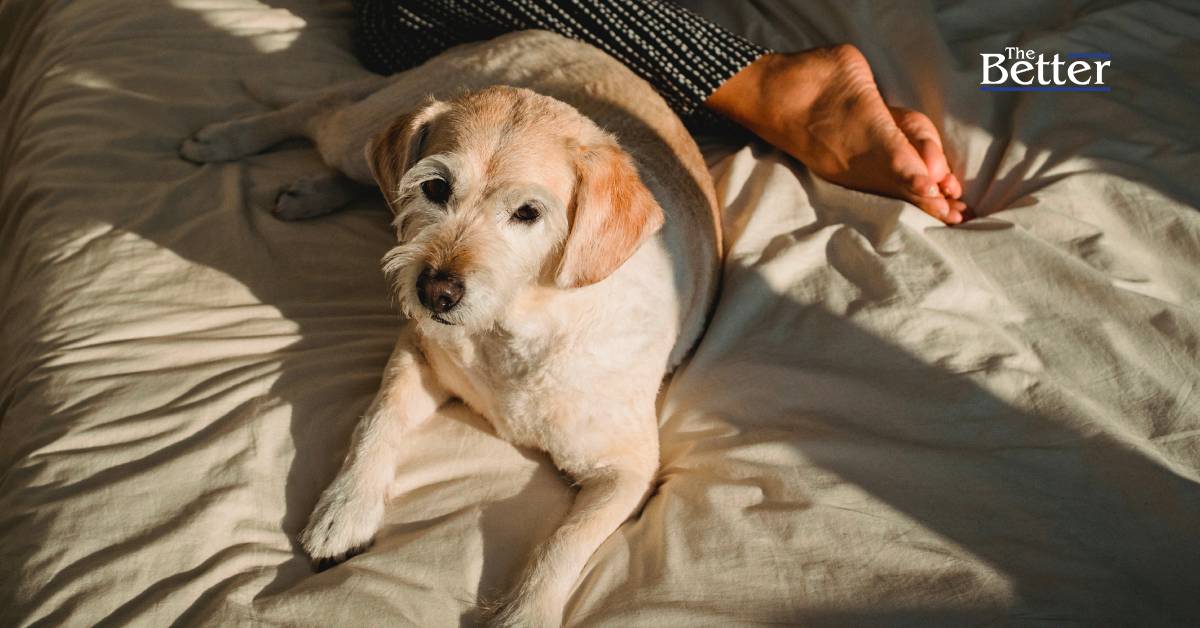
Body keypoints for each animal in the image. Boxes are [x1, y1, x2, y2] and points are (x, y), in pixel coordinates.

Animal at [181, 30, 721, 627]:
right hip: (361, 128)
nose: (434, 291)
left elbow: (567, 539)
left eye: (528, 213)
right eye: (437, 188)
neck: (514, 330)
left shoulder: (629, 469)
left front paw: (527, 610)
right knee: (325, 109)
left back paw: (310, 192)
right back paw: (224, 138)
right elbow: (375, 422)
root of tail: (539, 32)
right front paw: (346, 508)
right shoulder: (416, 352)